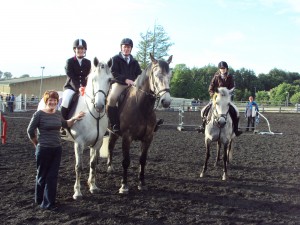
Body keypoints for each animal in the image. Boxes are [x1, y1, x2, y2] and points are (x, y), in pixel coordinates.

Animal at [37, 57, 112, 199]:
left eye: (110, 80)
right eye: (93, 79)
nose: (99, 106)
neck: (93, 114)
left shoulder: (97, 142)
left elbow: (93, 164)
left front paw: (93, 186)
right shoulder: (79, 143)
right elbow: (79, 167)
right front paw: (77, 192)